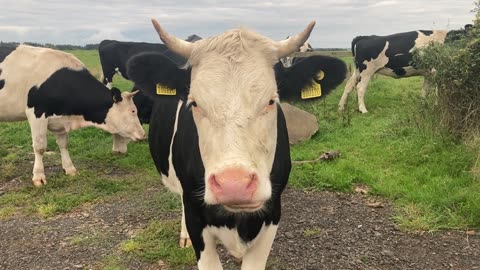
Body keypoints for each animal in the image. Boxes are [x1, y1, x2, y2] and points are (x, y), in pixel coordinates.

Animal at [0, 45, 145, 187]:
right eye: (133, 111)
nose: (143, 135)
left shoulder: (60, 119)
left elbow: (63, 144)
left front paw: (70, 169)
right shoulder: (36, 113)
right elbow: (40, 147)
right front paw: (39, 177)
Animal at [338, 24, 472, 114]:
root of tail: (364, 37)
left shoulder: (429, 73)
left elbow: (425, 90)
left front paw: (422, 105)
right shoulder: (437, 71)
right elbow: (438, 91)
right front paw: (437, 106)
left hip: (357, 71)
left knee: (349, 86)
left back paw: (341, 107)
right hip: (367, 70)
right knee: (360, 88)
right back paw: (363, 110)